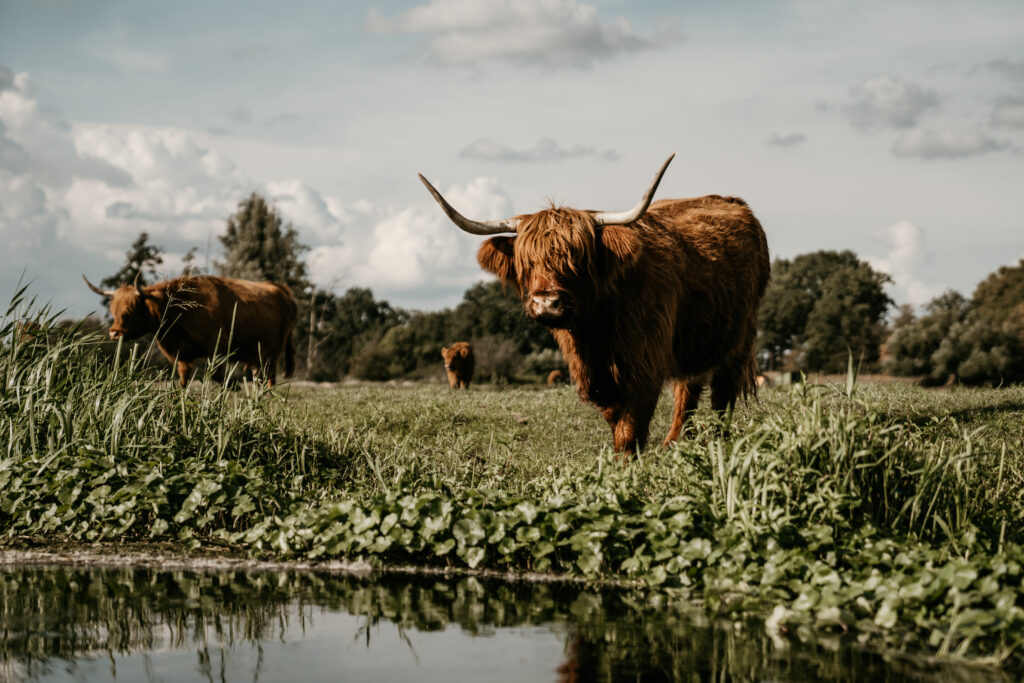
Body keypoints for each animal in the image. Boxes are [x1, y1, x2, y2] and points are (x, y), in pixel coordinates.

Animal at [82, 274, 296, 389]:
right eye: (113, 310)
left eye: (130, 310)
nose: (114, 333)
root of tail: (279, 288)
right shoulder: (182, 354)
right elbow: (183, 379)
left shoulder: (218, 347)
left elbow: (217, 374)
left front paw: (232, 387)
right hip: (257, 354)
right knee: (259, 373)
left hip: (272, 351)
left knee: (270, 375)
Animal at [417, 155, 770, 454]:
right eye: (527, 263)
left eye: (576, 260)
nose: (546, 302)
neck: (595, 331)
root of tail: (734, 203)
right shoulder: (596, 377)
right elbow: (617, 420)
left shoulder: (645, 364)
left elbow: (631, 429)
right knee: (689, 389)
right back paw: (674, 443)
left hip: (738, 340)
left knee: (721, 396)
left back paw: (716, 443)